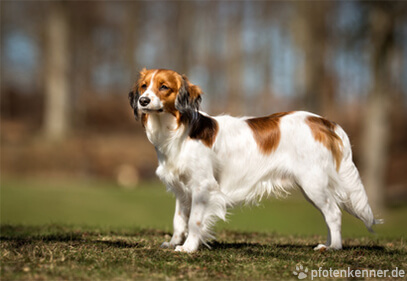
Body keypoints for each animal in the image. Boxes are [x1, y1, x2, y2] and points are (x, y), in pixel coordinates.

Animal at [129, 69, 384, 253]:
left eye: (164, 87)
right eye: (144, 86)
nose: (143, 100)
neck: (178, 131)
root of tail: (323, 121)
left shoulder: (202, 187)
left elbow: (195, 222)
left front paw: (188, 248)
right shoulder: (182, 190)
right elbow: (179, 220)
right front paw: (174, 242)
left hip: (313, 184)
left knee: (333, 213)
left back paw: (334, 248)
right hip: (311, 188)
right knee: (329, 213)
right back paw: (328, 244)